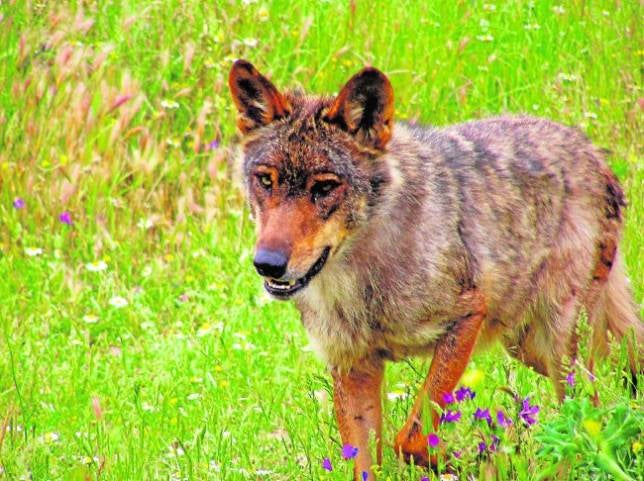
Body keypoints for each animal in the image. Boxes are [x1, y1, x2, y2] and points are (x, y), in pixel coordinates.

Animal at [226, 61, 640, 480]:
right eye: (266, 180)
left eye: (325, 187)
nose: (267, 263)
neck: (362, 286)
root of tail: (594, 151)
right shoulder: (353, 367)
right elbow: (368, 459)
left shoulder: (467, 317)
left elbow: (410, 438)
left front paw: (479, 457)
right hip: (528, 346)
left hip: (557, 345)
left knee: (587, 417)